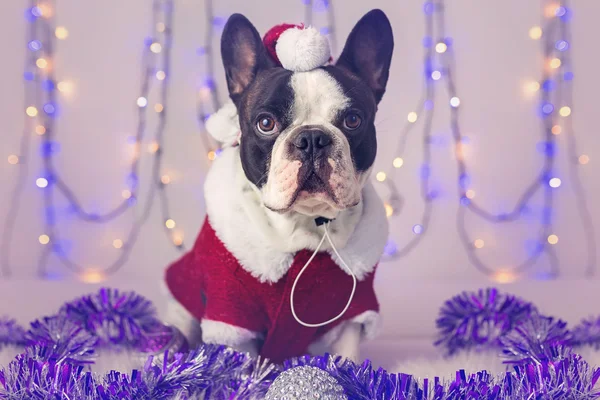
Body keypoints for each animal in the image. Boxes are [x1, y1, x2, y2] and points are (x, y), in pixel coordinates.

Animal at [166, 9, 396, 364]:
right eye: (266, 123)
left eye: (353, 120)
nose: (312, 139)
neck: (305, 227)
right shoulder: (230, 314)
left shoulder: (352, 314)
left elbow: (346, 356)